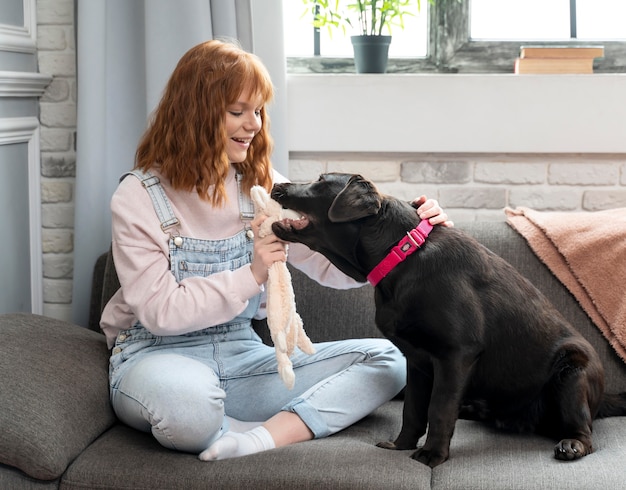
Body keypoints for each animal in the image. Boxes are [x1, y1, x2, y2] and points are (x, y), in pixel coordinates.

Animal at [270, 172, 624, 468]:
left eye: (320, 181)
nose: (276, 185)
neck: (402, 253)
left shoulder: (456, 355)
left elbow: (438, 409)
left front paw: (432, 455)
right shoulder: (416, 360)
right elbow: (414, 409)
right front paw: (401, 445)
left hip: (573, 372)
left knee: (585, 431)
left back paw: (572, 445)